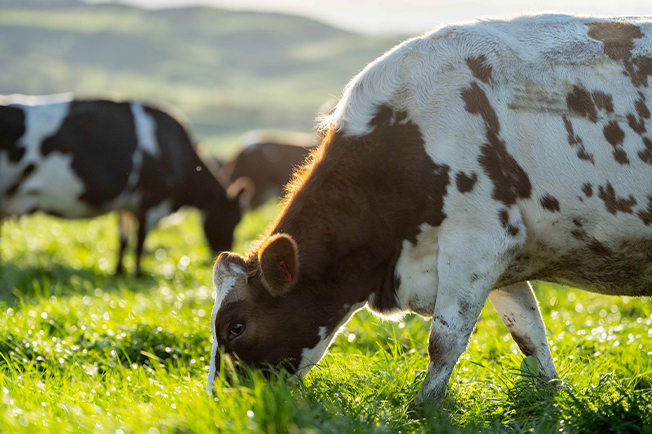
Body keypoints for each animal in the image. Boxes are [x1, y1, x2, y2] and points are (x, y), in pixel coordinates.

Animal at [0, 94, 242, 276]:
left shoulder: (127, 204)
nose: (224, 251)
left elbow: (124, 240)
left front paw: (118, 272)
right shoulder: (151, 202)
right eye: (233, 219)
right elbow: (140, 242)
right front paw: (137, 274)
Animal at [207, 14, 652, 402]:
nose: (218, 399)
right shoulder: (506, 256)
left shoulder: (478, 240)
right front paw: (550, 395)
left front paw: (424, 405)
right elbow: (529, 334)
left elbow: (444, 339)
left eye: (236, 327)